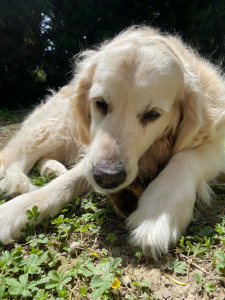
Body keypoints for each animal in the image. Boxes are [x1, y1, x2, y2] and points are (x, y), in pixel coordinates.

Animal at [0, 27, 225, 258]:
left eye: (153, 114)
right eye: (100, 103)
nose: (108, 177)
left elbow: (185, 157)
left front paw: (159, 210)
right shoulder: (93, 153)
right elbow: (70, 179)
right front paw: (15, 210)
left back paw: (51, 169)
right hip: (57, 127)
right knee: (13, 158)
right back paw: (21, 182)